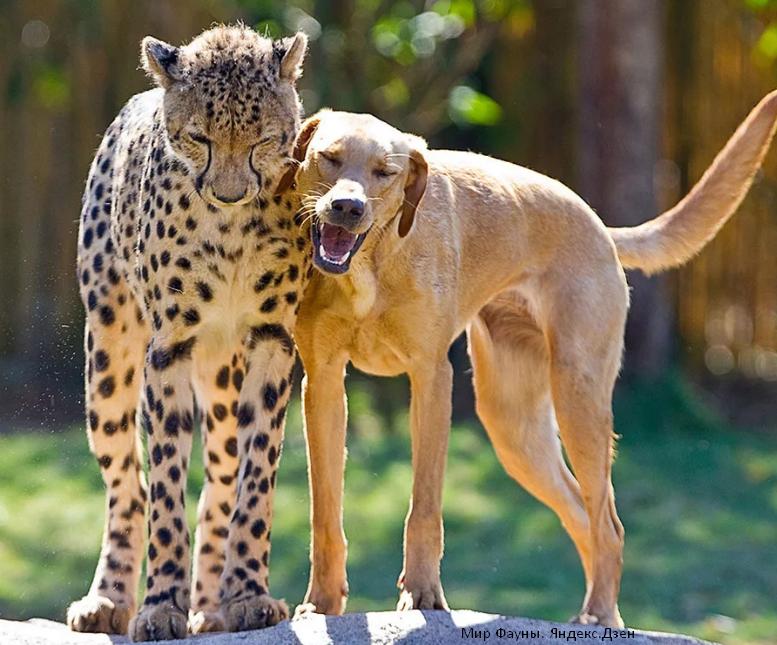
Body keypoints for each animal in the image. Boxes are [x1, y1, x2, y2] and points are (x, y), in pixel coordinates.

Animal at [64, 25, 312, 640]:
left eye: (263, 140)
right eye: (199, 137)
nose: (228, 192)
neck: (229, 228)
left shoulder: (271, 340)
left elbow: (254, 480)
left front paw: (246, 594)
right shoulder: (168, 347)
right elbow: (166, 489)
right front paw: (160, 605)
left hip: (223, 376)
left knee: (219, 482)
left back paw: (211, 606)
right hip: (108, 360)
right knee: (127, 487)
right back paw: (109, 598)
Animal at [284, 90, 776, 624]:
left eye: (384, 172)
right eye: (329, 158)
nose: (346, 208)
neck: (368, 272)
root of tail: (598, 225)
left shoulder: (431, 380)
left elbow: (425, 508)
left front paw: (422, 595)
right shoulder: (323, 384)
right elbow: (325, 513)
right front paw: (323, 603)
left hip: (578, 401)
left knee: (608, 524)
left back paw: (599, 613)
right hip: (515, 429)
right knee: (583, 516)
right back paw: (601, 612)